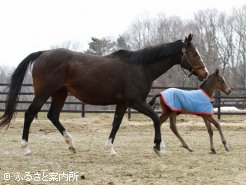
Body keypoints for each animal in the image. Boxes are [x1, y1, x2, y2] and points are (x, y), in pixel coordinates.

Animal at [0, 34, 209, 155]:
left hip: (60, 93)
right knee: (30, 114)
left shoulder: (123, 104)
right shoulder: (135, 101)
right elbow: (156, 118)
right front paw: (158, 146)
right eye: (194, 53)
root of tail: (43, 53)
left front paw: (110, 149)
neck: (140, 67)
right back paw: (26, 147)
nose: (205, 73)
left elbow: (116, 123)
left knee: (53, 116)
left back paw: (71, 144)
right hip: (44, 93)